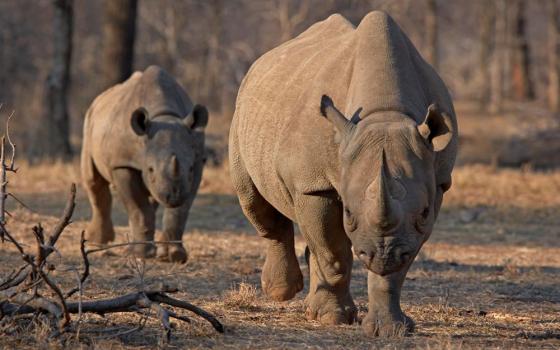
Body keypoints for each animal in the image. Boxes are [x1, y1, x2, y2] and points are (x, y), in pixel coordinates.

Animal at [82, 65, 207, 262]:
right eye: (150, 169)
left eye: (190, 168)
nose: (173, 196)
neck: (164, 116)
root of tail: (100, 98)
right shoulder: (123, 163)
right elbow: (138, 207)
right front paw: (139, 255)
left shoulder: (198, 160)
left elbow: (180, 212)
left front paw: (173, 256)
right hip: (89, 121)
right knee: (93, 180)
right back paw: (98, 242)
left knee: (151, 199)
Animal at [230, 12, 458, 334]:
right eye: (348, 213)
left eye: (424, 213)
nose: (383, 254)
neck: (385, 112)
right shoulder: (314, 184)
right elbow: (334, 251)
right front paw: (332, 318)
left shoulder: (436, 183)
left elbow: (397, 266)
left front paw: (390, 329)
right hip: (244, 112)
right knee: (252, 198)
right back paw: (281, 292)